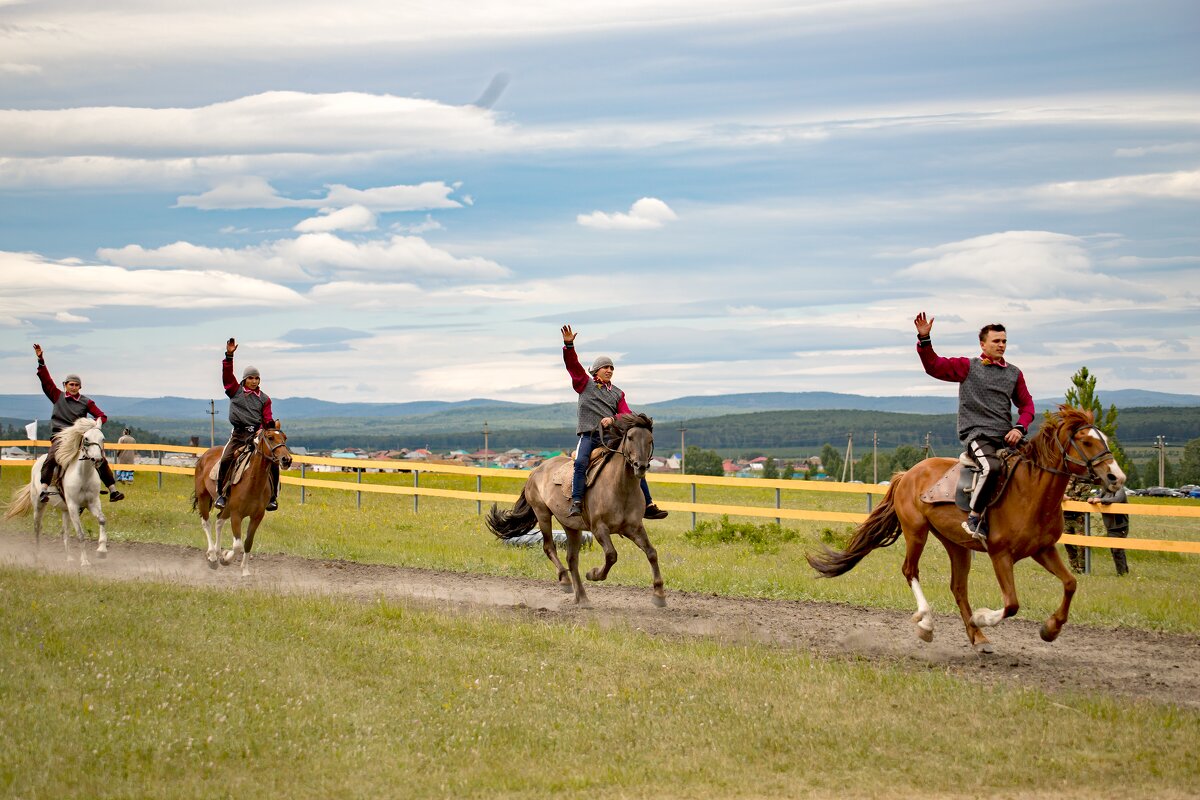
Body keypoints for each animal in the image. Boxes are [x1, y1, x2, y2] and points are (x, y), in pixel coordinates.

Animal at [3, 417, 108, 566]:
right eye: (86, 438)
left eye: (102, 438)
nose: (97, 459)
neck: (83, 475)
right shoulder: (73, 505)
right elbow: (80, 534)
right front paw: (85, 562)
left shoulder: (92, 503)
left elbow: (102, 520)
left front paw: (102, 550)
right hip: (39, 505)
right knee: (37, 528)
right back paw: (38, 556)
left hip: (65, 510)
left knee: (64, 532)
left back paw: (69, 558)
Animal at [194, 424, 295, 575]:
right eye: (270, 437)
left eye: (285, 438)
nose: (286, 459)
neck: (252, 482)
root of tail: (205, 455)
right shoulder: (236, 514)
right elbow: (237, 544)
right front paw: (226, 558)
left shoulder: (257, 516)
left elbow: (248, 542)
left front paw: (245, 571)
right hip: (203, 497)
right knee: (206, 523)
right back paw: (212, 557)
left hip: (226, 507)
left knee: (219, 521)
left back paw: (217, 552)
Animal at [484, 417, 672, 609]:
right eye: (630, 437)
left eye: (650, 440)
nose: (640, 466)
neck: (620, 488)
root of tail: (536, 471)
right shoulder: (599, 528)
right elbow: (611, 555)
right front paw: (594, 574)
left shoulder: (634, 528)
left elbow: (651, 553)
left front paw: (659, 595)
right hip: (542, 514)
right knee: (549, 547)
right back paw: (565, 581)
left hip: (571, 527)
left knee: (572, 559)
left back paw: (582, 598)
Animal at [806, 407, 1123, 652]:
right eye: (1085, 441)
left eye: (1104, 439)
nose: (1116, 477)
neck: (1030, 492)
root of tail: (907, 474)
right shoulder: (1000, 555)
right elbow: (1012, 604)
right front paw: (982, 618)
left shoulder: (1043, 550)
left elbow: (1070, 583)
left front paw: (1050, 629)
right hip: (916, 532)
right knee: (910, 571)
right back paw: (928, 624)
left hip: (955, 544)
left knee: (958, 587)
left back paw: (978, 638)